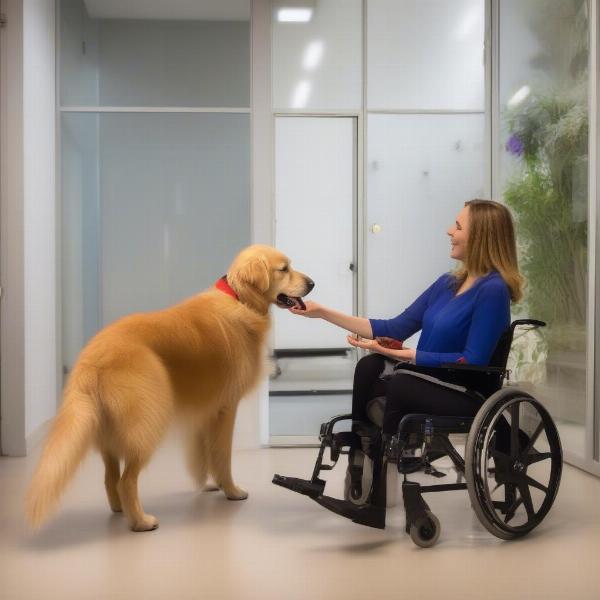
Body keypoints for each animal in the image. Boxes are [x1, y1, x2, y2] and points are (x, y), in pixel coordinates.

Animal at [25, 244, 312, 528]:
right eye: (284, 269)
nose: (312, 283)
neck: (240, 298)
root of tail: (91, 358)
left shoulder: (204, 410)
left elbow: (202, 455)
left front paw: (208, 484)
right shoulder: (226, 408)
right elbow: (222, 457)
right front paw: (231, 490)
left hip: (109, 430)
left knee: (110, 477)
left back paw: (120, 509)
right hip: (147, 422)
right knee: (126, 480)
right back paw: (141, 521)